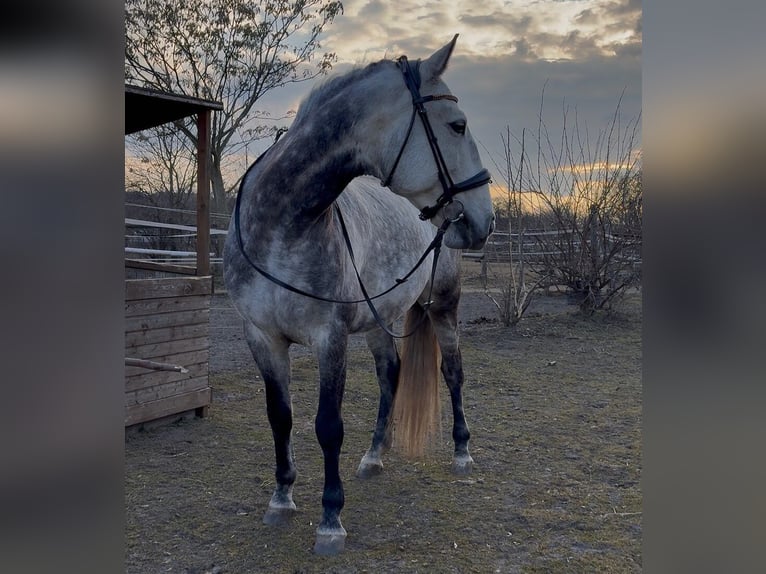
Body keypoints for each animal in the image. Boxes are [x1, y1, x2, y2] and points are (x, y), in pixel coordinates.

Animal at [222, 37, 498, 560]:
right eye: (457, 125)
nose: (484, 219)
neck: (282, 227)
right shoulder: (260, 336)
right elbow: (280, 418)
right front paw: (282, 498)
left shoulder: (329, 338)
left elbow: (327, 426)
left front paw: (331, 520)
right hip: (378, 321)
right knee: (391, 374)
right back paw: (374, 455)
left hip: (444, 309)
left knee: (453, 374)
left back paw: (461, 451)